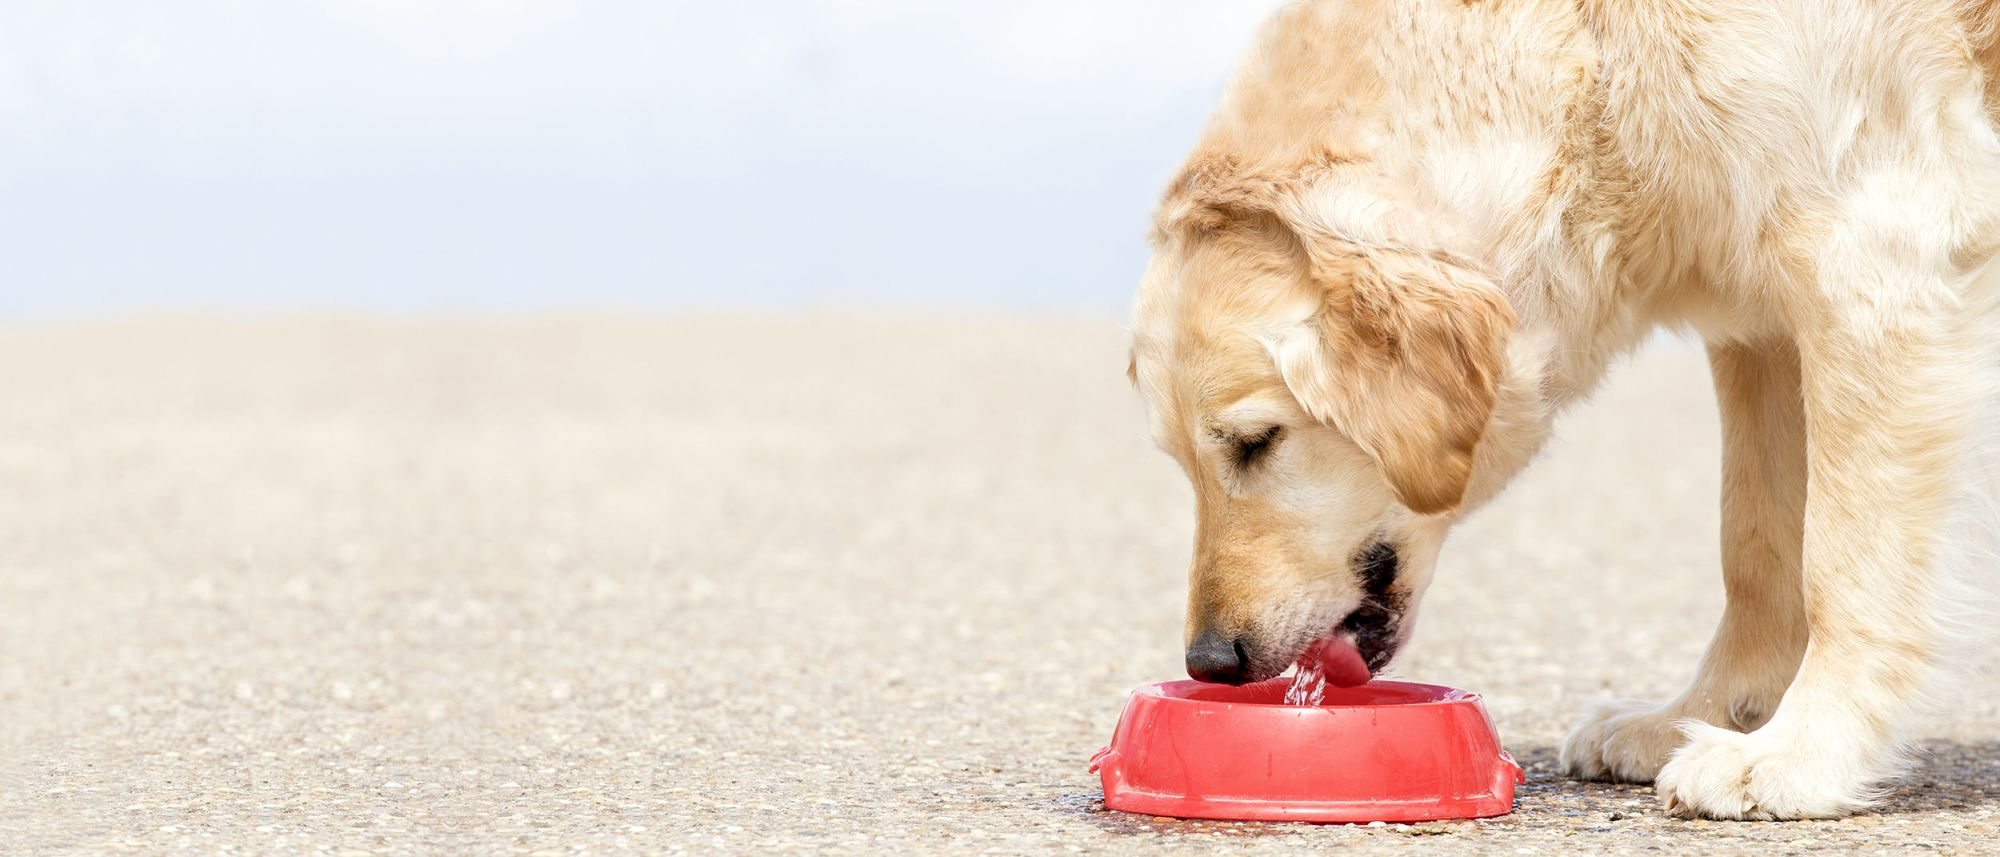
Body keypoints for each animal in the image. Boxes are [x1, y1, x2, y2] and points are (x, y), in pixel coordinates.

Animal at [1120, 0, 2000, 820]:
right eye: (1182, 462)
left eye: (1255, 442)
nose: (1211, 662)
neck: (1593, 56)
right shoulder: (1760, 321)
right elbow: (1755, 545)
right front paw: (1705, 717)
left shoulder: (1869, 264)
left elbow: (1841, 564)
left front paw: (1801, 750)